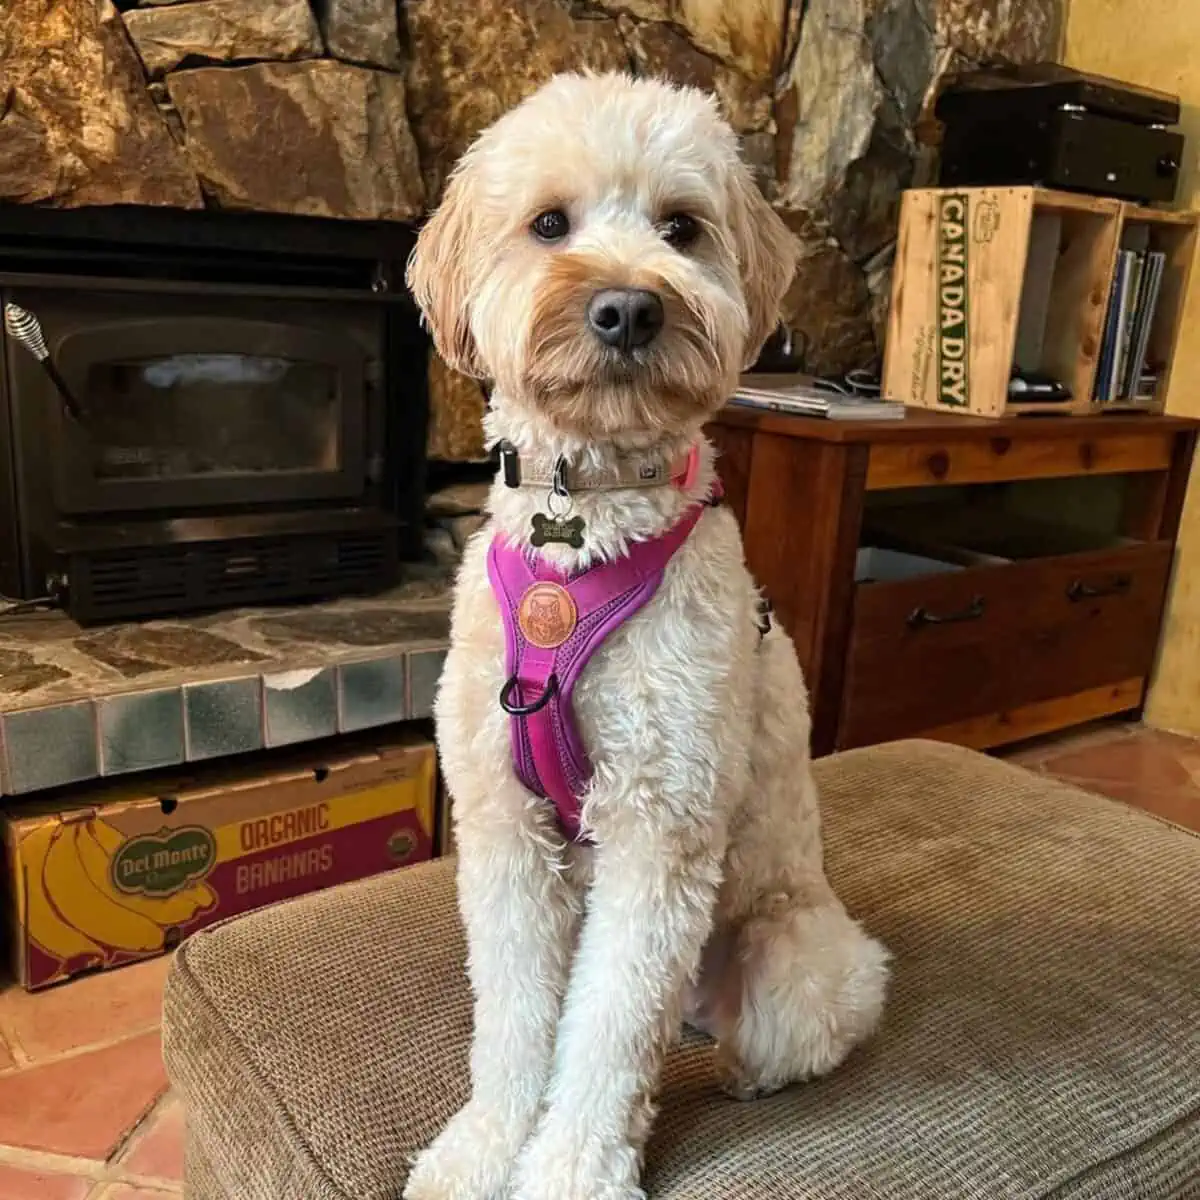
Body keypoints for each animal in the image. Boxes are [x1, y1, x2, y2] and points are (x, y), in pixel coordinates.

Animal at [408, 75, 888, 1200]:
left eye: (681, 228)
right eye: (550, 224)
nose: (629, 306)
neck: (584, 530)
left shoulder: (659, 831)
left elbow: (613, 1029)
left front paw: (572, 1168)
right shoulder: (506, 831)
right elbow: (516, 1019)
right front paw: (486, 1146)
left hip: (794, 961)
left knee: (778, 1030)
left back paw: (745, 1070)